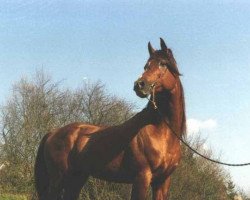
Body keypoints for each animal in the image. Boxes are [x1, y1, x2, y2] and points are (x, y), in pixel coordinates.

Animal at [34, 38, 186, 200]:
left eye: (163, 64)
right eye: (146, 65)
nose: (139, 85)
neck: (161, 132)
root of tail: (53, 133)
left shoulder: (162, 181)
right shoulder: (142, 178)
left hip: (76, 178)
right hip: (58, 180)